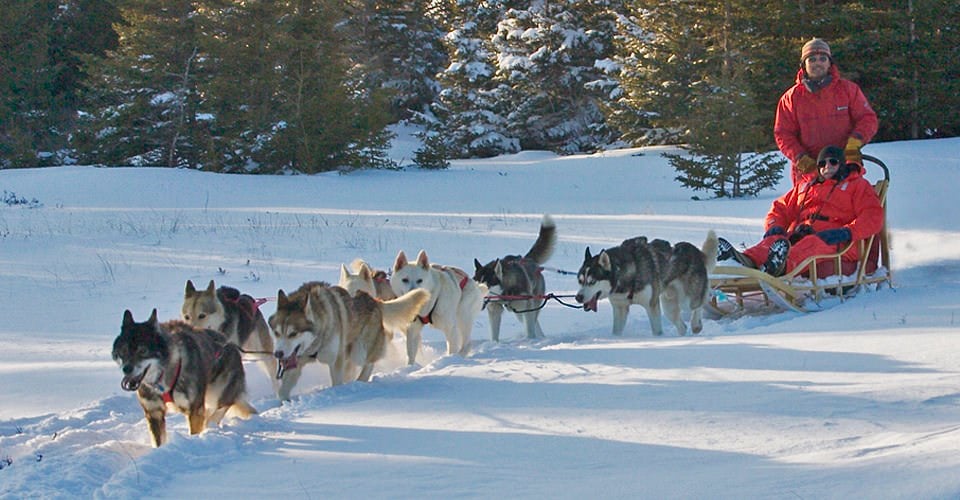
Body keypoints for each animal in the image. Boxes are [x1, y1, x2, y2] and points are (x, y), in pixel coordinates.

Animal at [111, 308, 258, 446]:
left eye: (142, 351)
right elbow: (158, 441)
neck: (162, 380)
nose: (126, 369)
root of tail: (230, 344)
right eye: (123, 351)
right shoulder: (154, 413)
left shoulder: (194, 410)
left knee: (222, 407)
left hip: (219, 393)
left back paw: (209, 427)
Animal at [264, 282, 426, 402]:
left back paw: (360, 382)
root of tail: (373, 300)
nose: (278, 354)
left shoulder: (336, 360)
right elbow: (283, 391)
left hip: (359, 352)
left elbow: (337, 382)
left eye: (293, 333)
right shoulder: (295, 362)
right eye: (276, 333)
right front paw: (284, 403)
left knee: (369, 363)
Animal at [572, 230, 716, 336]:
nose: (578, 297)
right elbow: (616, 332)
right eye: (580, 281)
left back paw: (696, 325)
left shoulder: (652, 305)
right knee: (682, 326)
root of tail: (697, 251)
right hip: (669, 306)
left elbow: (657, 331)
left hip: (687, 300)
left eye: (592, 281)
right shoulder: (620, 308)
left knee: (699, 304)